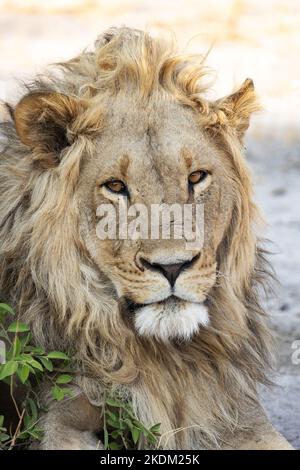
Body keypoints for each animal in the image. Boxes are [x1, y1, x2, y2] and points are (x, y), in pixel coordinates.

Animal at [0, 27, 292, 450]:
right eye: (115, 186)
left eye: (196, 177)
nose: (172, 267)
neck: (166, 355)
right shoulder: (59, 415)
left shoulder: (239, 414)